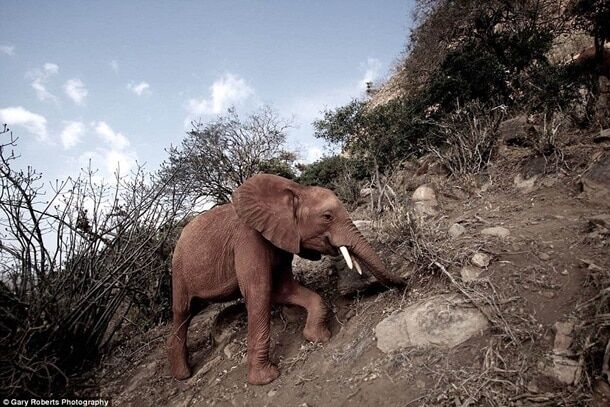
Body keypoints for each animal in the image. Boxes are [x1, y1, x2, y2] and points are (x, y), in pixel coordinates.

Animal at [166, 174, 404, 384]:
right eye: (327, 216)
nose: (405, 283)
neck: (295, 190)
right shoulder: (249, 239)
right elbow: (259, 292)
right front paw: (265, 378)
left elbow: (283, 289)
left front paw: (318, 337)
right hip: (178, 270)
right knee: (183, 312)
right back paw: (183, 375)